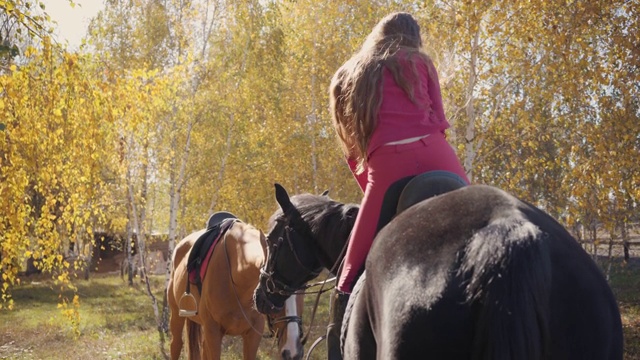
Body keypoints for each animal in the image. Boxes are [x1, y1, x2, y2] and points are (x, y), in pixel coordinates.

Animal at [166, 219, 304, 360]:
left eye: (303, 287)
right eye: (270, 286)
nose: (292, 351)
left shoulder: (253, 335)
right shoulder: (213, 332)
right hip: (177, 314)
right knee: (176, 344)